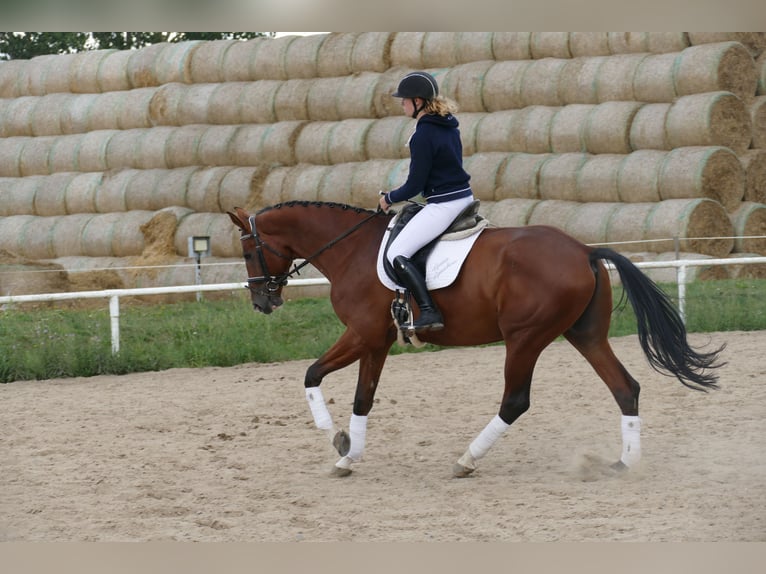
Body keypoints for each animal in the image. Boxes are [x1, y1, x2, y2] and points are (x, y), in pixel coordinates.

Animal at [227, 201, 723, 478]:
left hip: (524, 338)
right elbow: (362, 398)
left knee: (515, 401)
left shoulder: (361, 334)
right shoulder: (377, 342)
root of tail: (583, 250)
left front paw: (335, 438)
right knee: (625, 388)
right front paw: (349, 457)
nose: (261, 301)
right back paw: (623, 465)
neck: (352, 251)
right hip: (584, 335)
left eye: (248, 251)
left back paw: (467, 460)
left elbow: (312, 375)